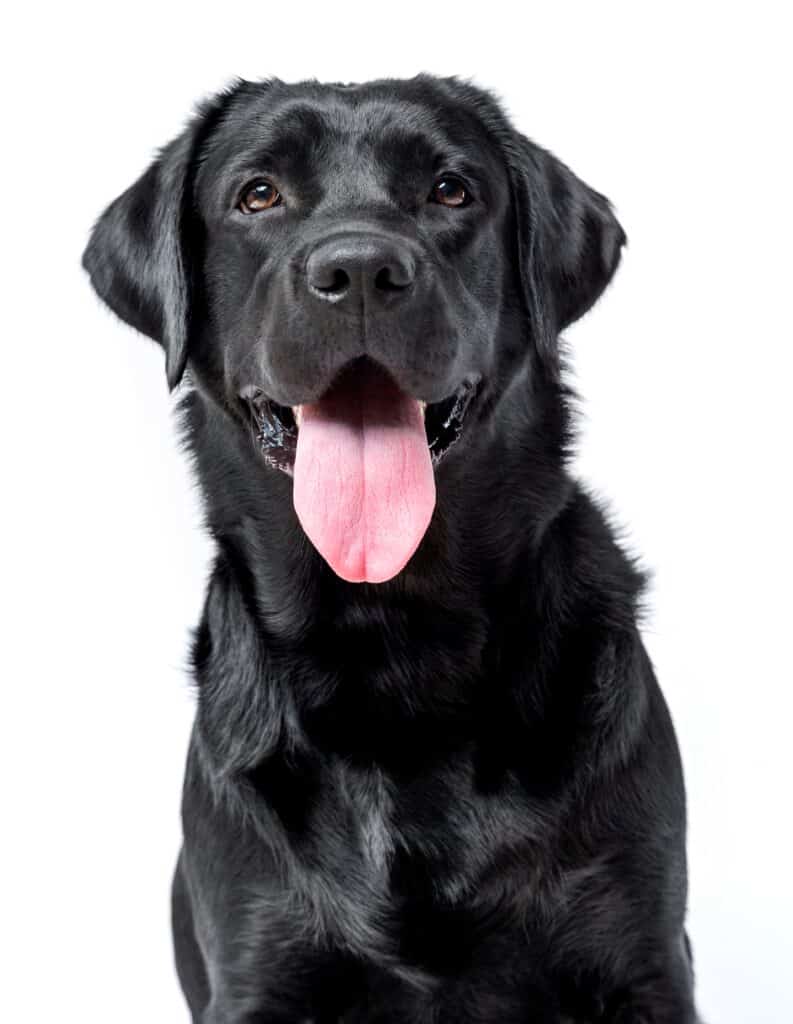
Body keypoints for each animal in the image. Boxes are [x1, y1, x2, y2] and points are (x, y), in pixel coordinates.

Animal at [82, 74, 700, 1024]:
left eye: (450, 190)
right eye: (257, 195)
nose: (361, 271)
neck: (391, 646)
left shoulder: (637, 960)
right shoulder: (260, 965)